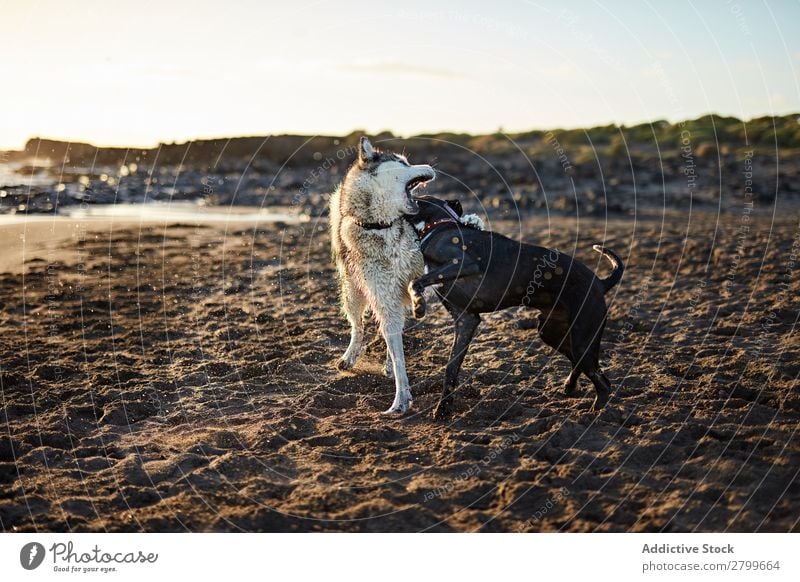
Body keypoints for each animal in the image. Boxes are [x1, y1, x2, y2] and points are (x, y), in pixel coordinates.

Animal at [412, 196, 624, 420]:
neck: (442, 224)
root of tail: (600, 283)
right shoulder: (466, 320)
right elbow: (451, 368)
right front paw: (443, 409)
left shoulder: (463, 263)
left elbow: (416, 282)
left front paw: (419, 306)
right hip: (551, 332)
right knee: (578, 364)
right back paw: (569, 386)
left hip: (581, 338)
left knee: (603, 383)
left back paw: (596, 412)